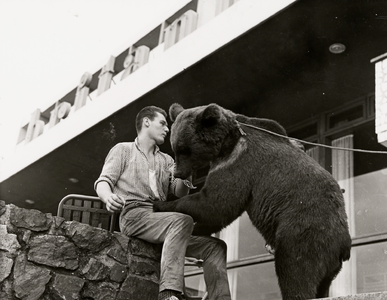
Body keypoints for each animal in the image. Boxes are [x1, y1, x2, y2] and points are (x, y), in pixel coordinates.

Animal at [154, 103, 352, 300]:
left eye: (184, 149)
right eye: (175, 147)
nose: (178, 173)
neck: (227, 144)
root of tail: (344, 245)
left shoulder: (239, 163)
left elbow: (217, 204)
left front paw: (162, 205)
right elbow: (217, 212)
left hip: (303, 232)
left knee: (295, 272)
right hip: (329, 264)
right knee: (321, 283)